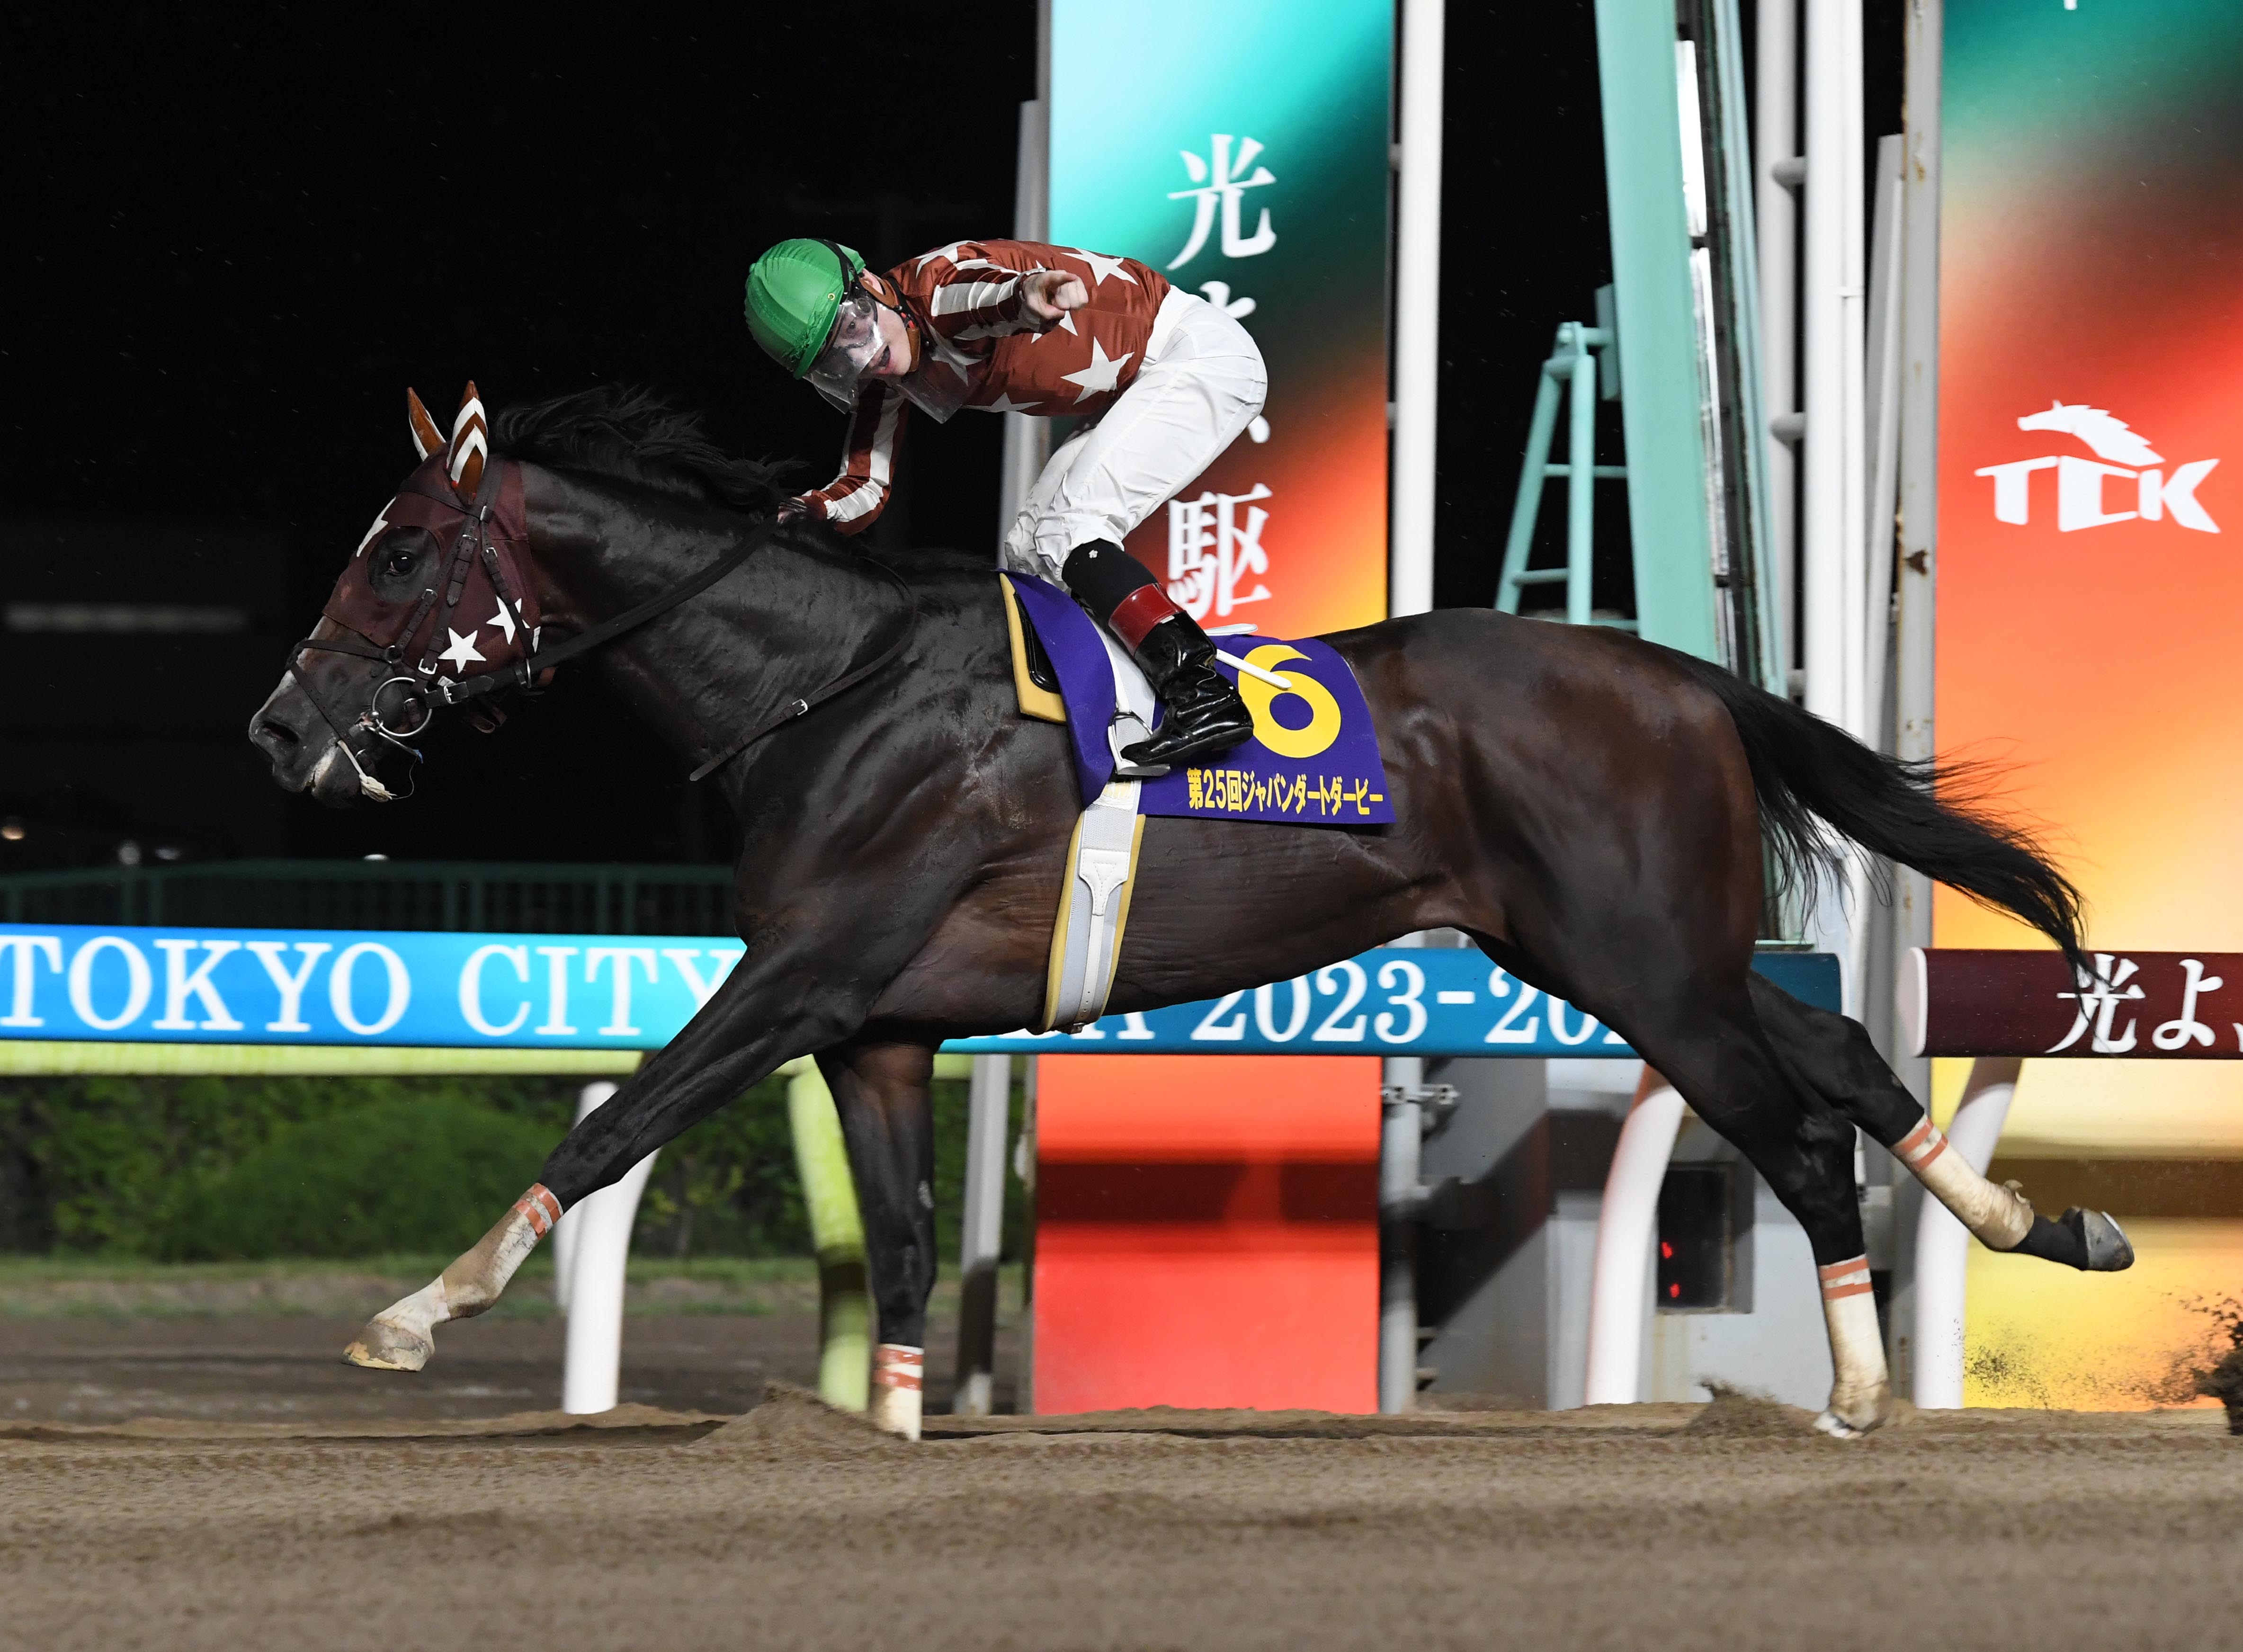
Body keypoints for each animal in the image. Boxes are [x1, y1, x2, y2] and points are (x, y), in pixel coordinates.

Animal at [254, 383, 2126, 1434]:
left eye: (403, 554)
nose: (281, 728)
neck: (822, 684)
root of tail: (1681, 677)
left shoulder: (801, 971)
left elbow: (615, 1121)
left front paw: (416, 1312)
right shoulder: (877, 1029)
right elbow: (906, 1241)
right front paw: (891, 1436)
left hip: (1643, 963)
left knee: (1797, 1130)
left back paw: (1863, 1389)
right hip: (1628, 947)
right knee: (1845, 1047)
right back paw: (2042, 1226)